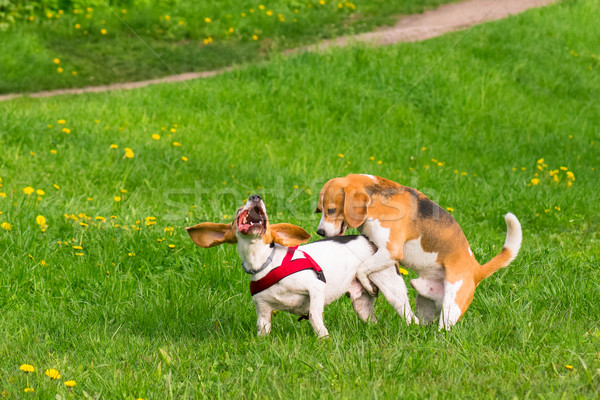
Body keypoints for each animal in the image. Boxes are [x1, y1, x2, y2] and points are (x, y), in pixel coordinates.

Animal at [188, 195, 418, 336]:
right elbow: (262, 330)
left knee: (409, 315)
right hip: (361, 303)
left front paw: (323, 338)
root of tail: (371, 240)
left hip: (392, 288)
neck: (265, 264)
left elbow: (315, 316)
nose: (255, 197)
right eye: (239, 210)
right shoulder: (263, 311)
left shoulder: (316, 288)